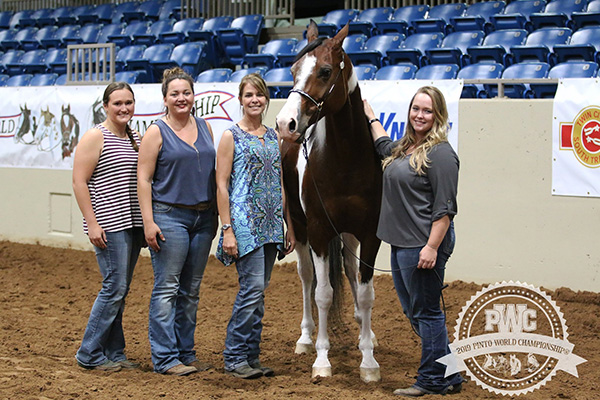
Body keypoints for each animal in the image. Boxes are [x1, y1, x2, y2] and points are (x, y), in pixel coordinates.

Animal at [276, 21, 382, 382]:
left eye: (324, 71)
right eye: (293, 70)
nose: (285, 123)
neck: (345, 159)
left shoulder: (370, 234)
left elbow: (365, 293)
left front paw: (368, 360)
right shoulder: (320, 232)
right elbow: (323, 294)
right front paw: (322, 360)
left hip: (347, 234)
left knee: (349, 271)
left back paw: (366, 332)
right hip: (301, 229)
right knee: (308, 278)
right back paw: (307, 338)